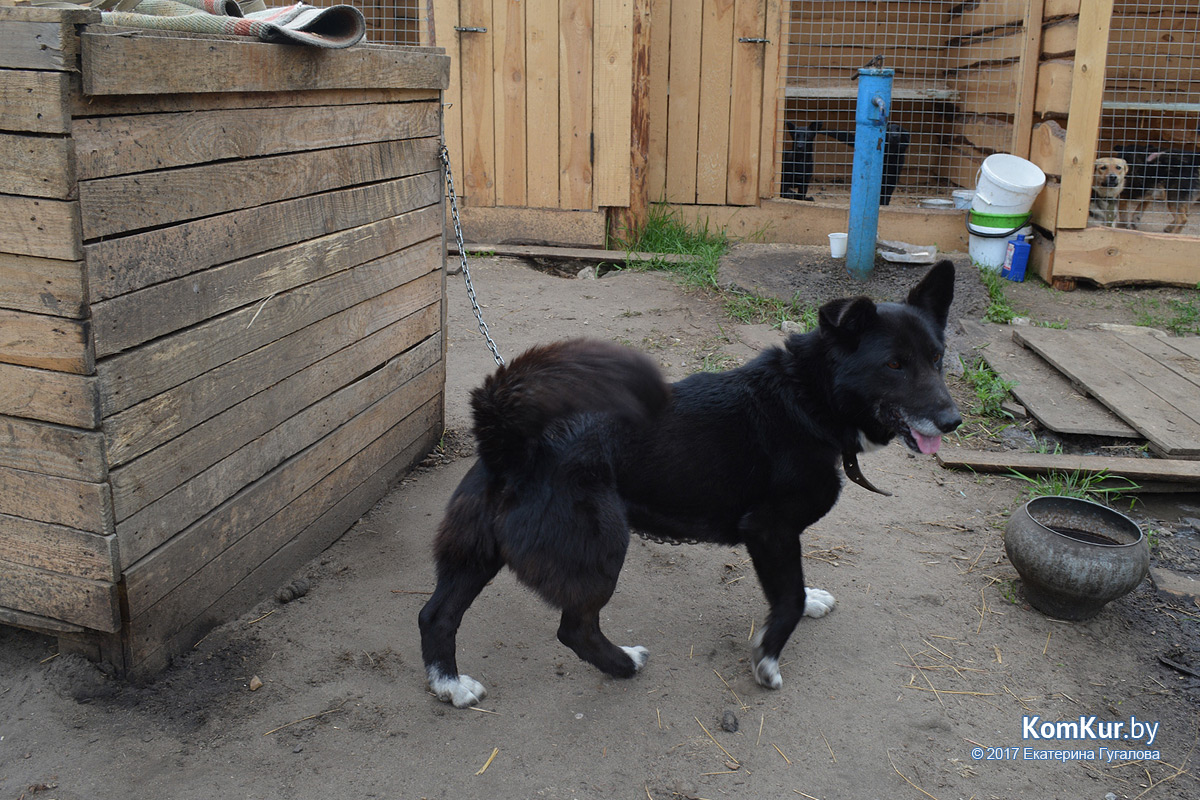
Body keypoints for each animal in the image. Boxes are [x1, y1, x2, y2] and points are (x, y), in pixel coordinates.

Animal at [417, 262, 960, 705]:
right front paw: (768, 659)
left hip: (476, 555)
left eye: (937, 358)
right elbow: (785, 600)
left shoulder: (779, 539)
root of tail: (508, 441)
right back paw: (624, 664)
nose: (952, 420)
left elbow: (795, 589)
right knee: (575, 630)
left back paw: (450, 685)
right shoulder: (769, 530)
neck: (809, 397)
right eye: (894, 364)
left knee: (435, 615)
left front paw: (809, 603)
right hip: (601, 551)